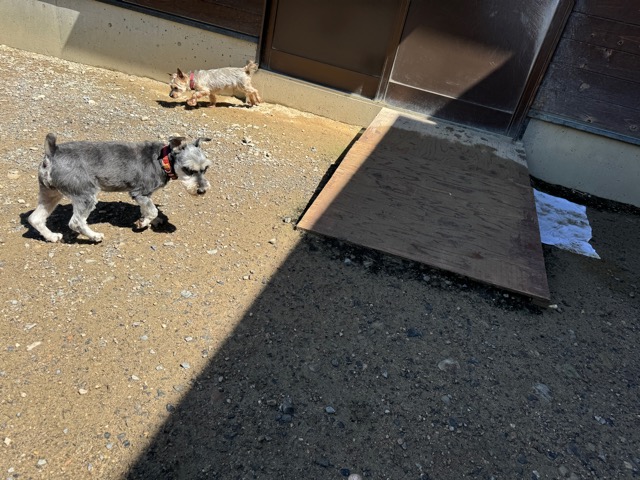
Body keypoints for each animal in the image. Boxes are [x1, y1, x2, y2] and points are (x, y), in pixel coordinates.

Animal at [28, 133, 212, 243]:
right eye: (188, 169)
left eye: (206, 168)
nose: (202, 190)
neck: (162, 160)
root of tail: (53, 152)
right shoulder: (139, 193)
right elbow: (152, 210)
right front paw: (144, 222)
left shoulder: (144, 197)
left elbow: (147, 209)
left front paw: (149, 220)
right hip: (86, 195)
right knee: (76, 222)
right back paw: (94, 236)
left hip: (51, 194)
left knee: (35, 218)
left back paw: (51, 236)